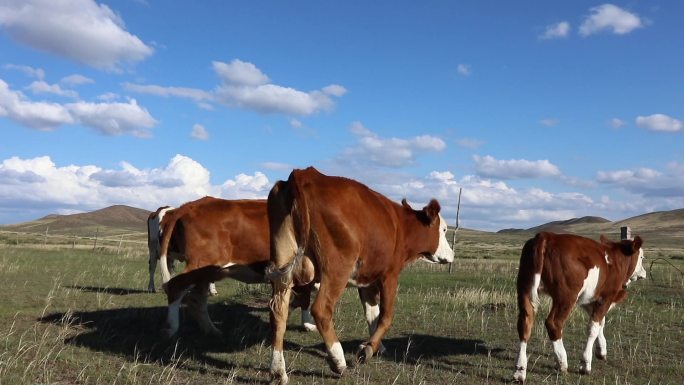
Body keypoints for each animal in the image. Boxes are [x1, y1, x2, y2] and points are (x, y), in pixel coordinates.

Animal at [156, 196, 318, 338]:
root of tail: (190, 205)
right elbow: (305, 298)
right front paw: (308, 324)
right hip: (200, 263)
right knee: (176, 286)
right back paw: (171, 328)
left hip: (206, 272)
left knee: (197, 298)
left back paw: (211, 329)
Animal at [266, 166, 454, 382]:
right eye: (444, 229)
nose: (452, 254)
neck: (401, 226)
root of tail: (305, 173)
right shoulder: (389, 276)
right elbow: (386, 316)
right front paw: (367, 349)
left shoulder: (368, 281)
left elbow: (372, 315)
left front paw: (375, 346)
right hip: (337, 269)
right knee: (321, 309)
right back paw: (338, 361)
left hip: (283, 266)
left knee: (278, 311)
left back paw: (278, 370)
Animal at [512, 230, 648, 380]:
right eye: (642, 257)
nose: (644, 273)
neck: (615, 261)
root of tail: (547, 235)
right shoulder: (605, 298)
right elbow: (593, 328)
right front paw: (585, 363)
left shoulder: (589, 300)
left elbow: (600, 323)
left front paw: (601, 350)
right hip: (566, 296)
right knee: (553, 323)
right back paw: (562, 362)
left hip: (524, 288)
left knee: (525, 323)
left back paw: (520, 370)